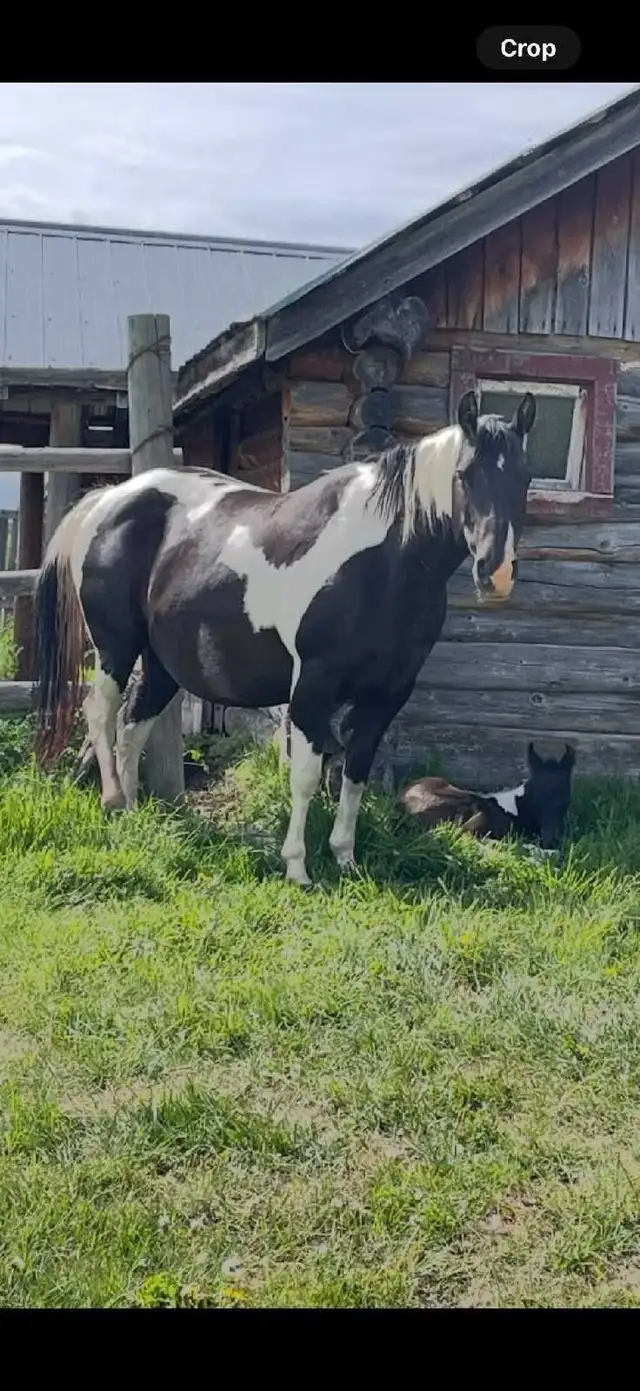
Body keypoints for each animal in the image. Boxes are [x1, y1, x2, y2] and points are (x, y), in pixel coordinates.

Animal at [33, 388, 536, 887]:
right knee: (101, 713)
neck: (383, 564)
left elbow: (355, 774)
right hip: (116, 648)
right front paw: (297, 867)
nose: (496, 573)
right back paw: (114, 800)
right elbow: (307, 777)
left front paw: (345, 858)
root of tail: (107, 499)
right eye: (464, 474)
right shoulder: (312, 689)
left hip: (162, 663)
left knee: (134, 725)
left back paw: (134, 813)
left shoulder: (386, 696)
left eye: (526, 476)